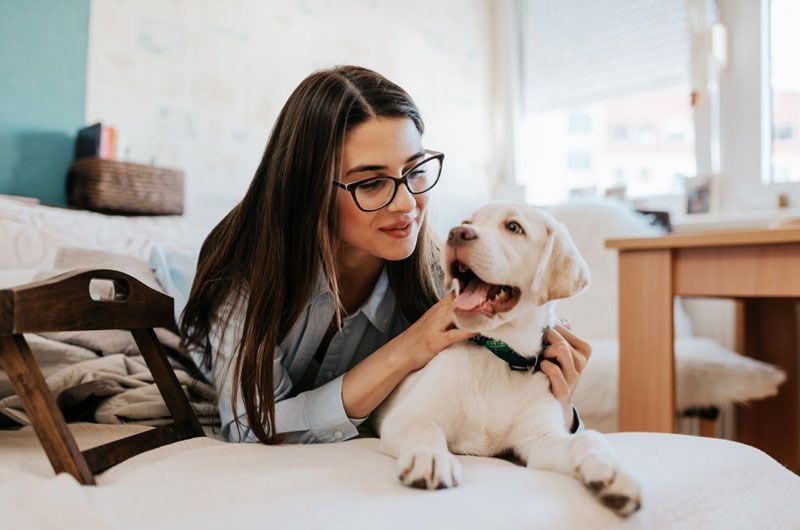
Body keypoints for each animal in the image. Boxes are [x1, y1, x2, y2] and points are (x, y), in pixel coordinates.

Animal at [372, 200, 640, 512]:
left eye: (514, 227)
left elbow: (586, 439)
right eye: (467, 222)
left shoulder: (541, 440)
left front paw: (612, 473)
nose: (457, 233)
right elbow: (424, 429)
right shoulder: (407, 415)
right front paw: (430, 458)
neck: (499, 357)